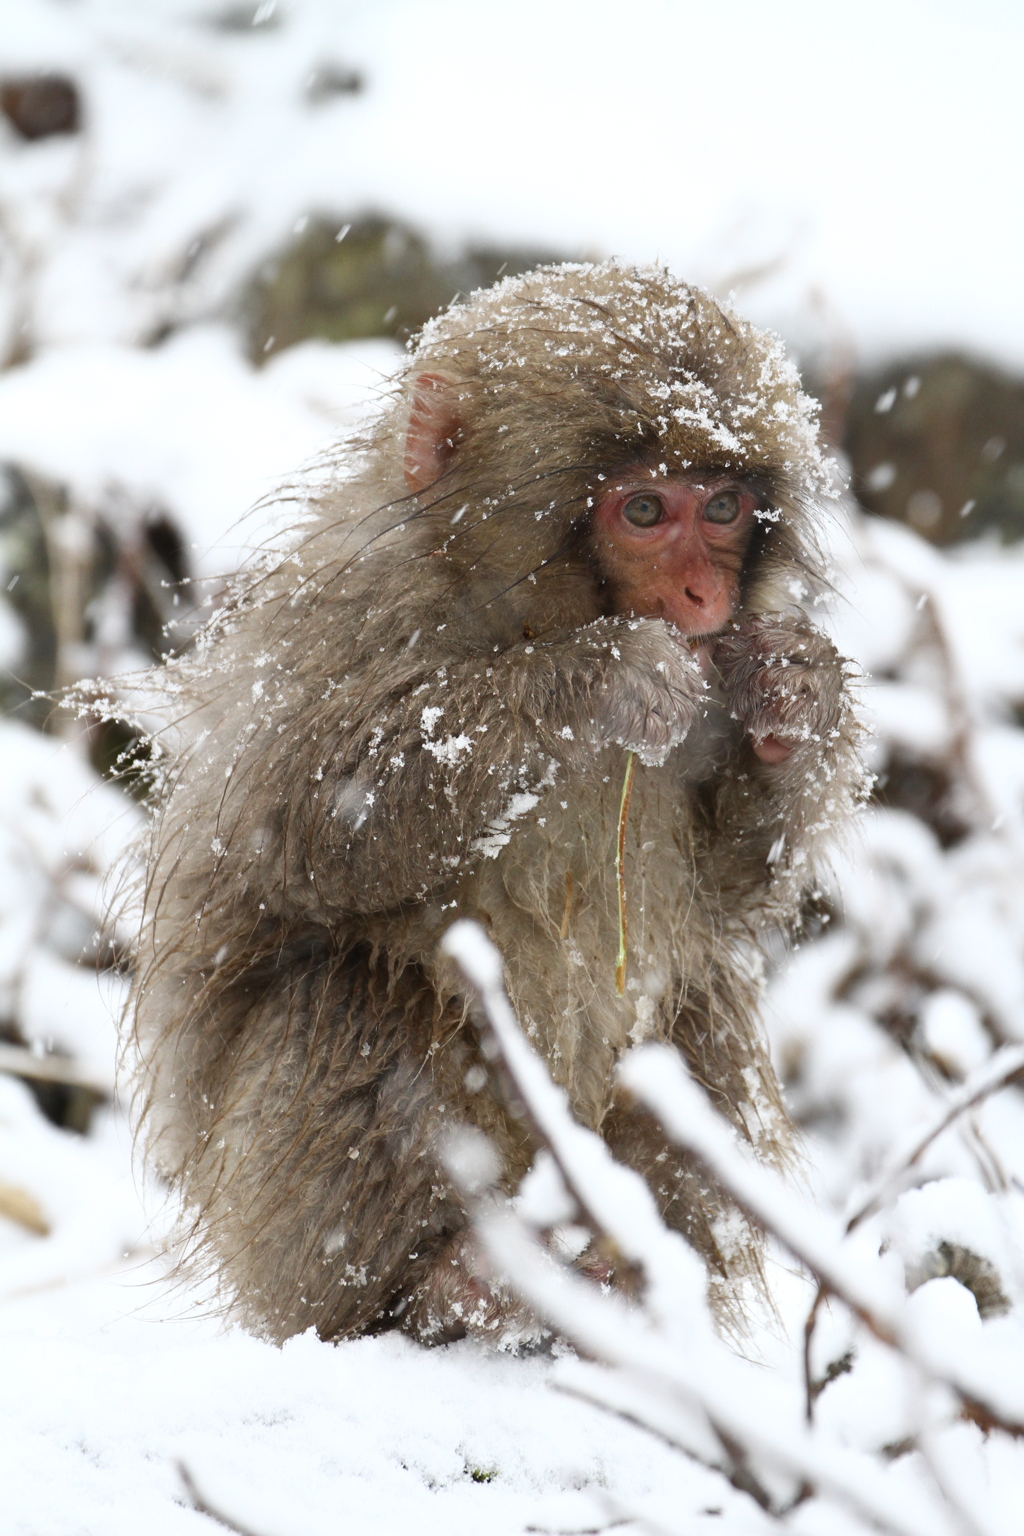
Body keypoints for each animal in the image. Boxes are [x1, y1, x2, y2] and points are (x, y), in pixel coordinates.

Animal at [132, 264, 859, 1345]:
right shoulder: (351, 611)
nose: (702, 601)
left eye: (724, 506)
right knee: (348, 991)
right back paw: (439, 1285)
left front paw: (795, 699)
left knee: (695, 1009)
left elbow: (731, 888)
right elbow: (303, 823)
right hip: (270, 1242)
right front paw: (594, 683)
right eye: (646, 510)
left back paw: (637, 1284)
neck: (525, 615)